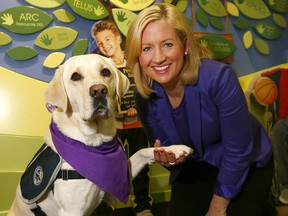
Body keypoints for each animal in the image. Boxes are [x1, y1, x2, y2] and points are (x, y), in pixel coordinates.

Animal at [8, 54, 194, 216]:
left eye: (105, 72)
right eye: (75, 76)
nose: (99, 91)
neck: (95, 142)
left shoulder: (113, 186)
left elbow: (141, 152)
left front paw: (173, 150)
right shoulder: (72, 210)